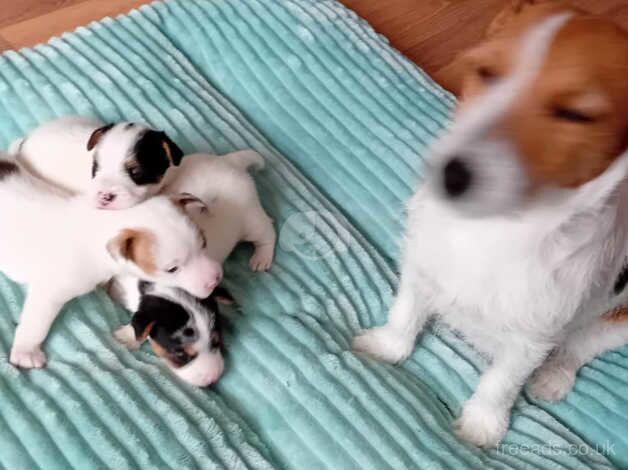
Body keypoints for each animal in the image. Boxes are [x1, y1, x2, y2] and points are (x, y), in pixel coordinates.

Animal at [0, 154, 223, 370]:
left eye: (204, 243)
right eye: (172, 269)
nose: (216, 279)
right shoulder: (50, 291)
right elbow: (36, 321)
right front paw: (26, 351)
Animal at [356, 0, 628, 448]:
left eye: (576, 115)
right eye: (486, 73)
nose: (451, 175)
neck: (493, 228)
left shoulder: (531, 338)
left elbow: (499, 384)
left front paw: (481, 427)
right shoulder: (421, 267)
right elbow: (404, 315)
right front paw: (385, 347)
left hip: (619, 321)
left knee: (580, 347)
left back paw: (553, 377)